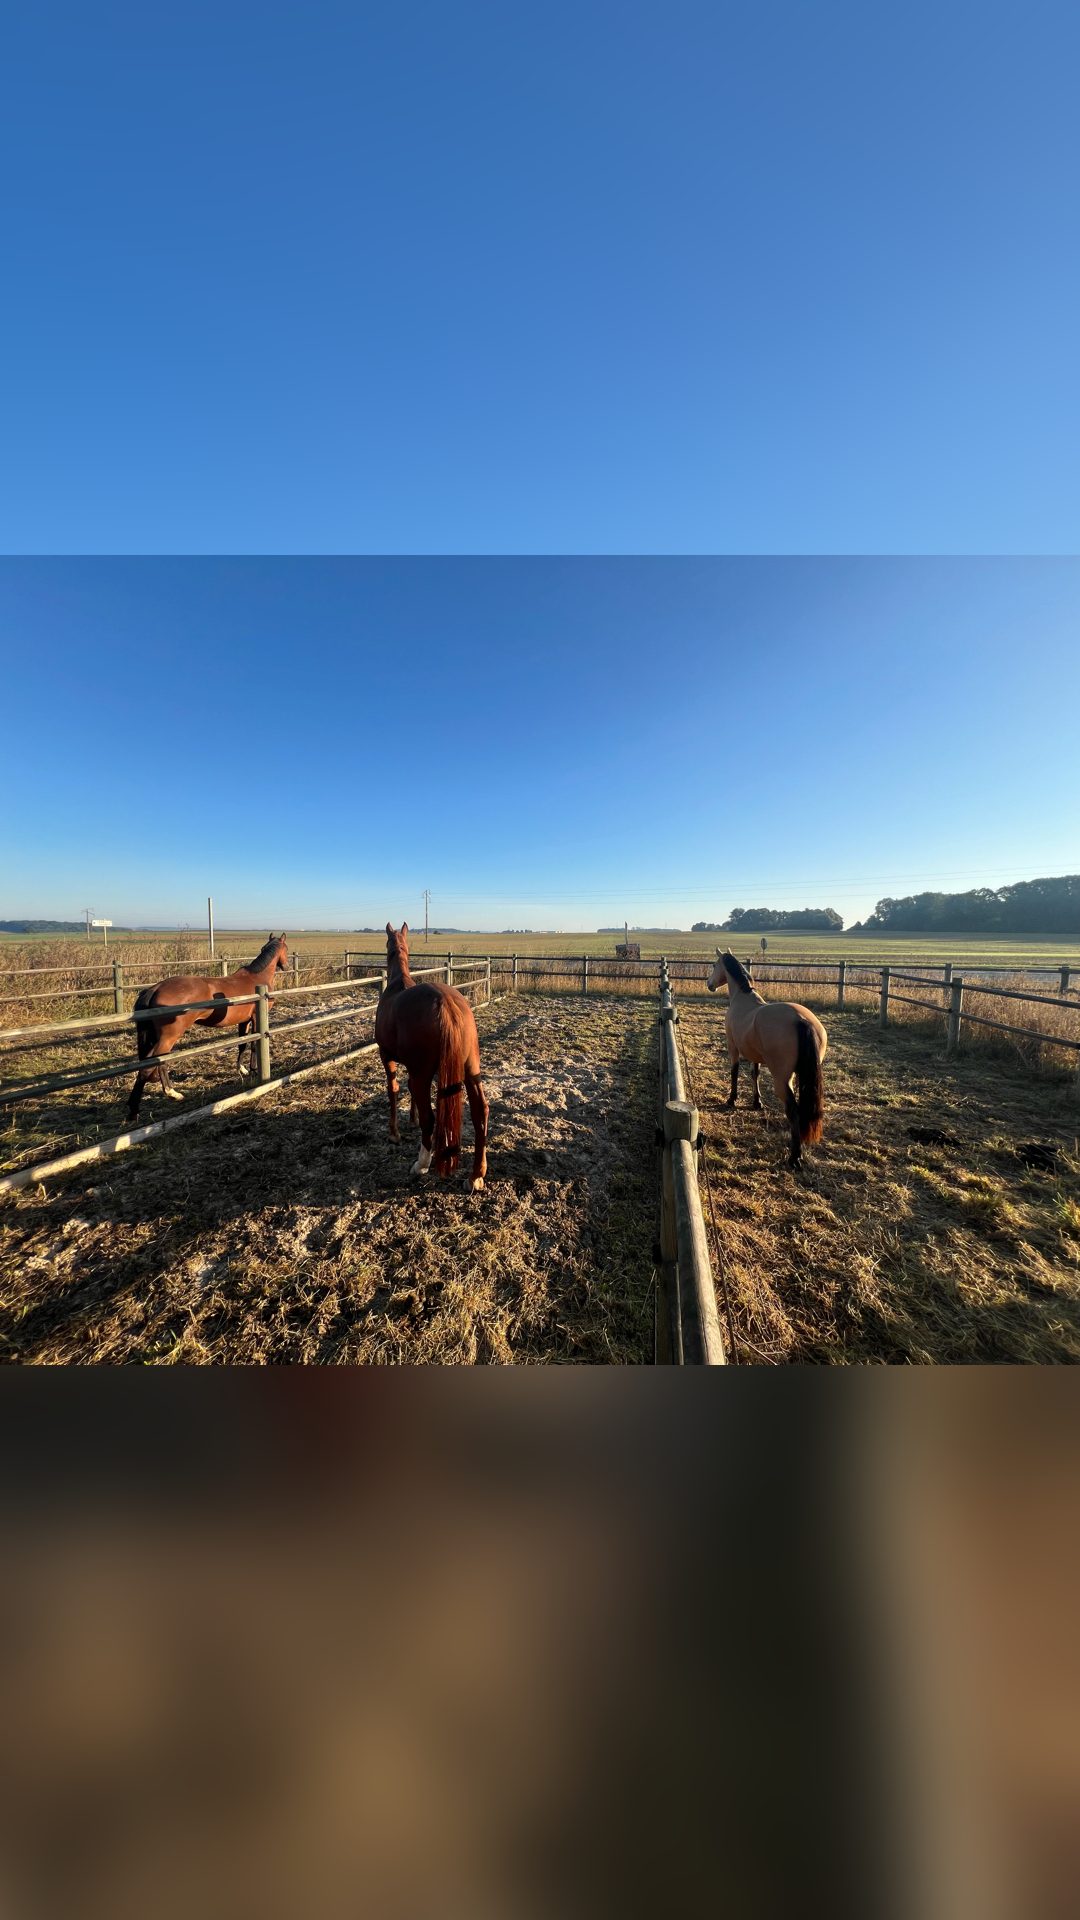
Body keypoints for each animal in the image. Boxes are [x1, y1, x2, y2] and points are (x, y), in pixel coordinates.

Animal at [126, 934, 290, 1124]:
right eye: (286, 949)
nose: (286, 966)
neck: (257, 978)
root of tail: (155, 988)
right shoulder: (256, 1019)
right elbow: (254, 1044)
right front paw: (254, 1070)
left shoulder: (244, 1021)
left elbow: (242, 1044)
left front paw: (242, 1069)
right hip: (169, 1037)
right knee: (157, 1062)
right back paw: (171, 1093)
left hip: (155, 1037)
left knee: (145, 1065)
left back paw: (133, 1110)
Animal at [374, 922, 488, 1192]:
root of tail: (445, 1002)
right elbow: (408, 1089)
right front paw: (411, 1120)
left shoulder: (387, 1057)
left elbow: (393, 1089)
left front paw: (394, 1133)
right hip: (470, 1069)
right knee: (480, 1112)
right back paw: (476, 1175)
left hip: (424, 1074)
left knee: (431, 1117)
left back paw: (421, 1164)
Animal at [705, 948, 827, 1168]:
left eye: (714, 965)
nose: (709, 984)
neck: (743, 997)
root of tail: (801, 1020)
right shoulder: (754, 1054)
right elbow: (755, 1074)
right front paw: (757, 1102)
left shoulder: (733, 1047)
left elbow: (734, 1072)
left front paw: (731, 1099)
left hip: (782, 1079)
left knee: (793, 1111)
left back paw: (795, 1157)